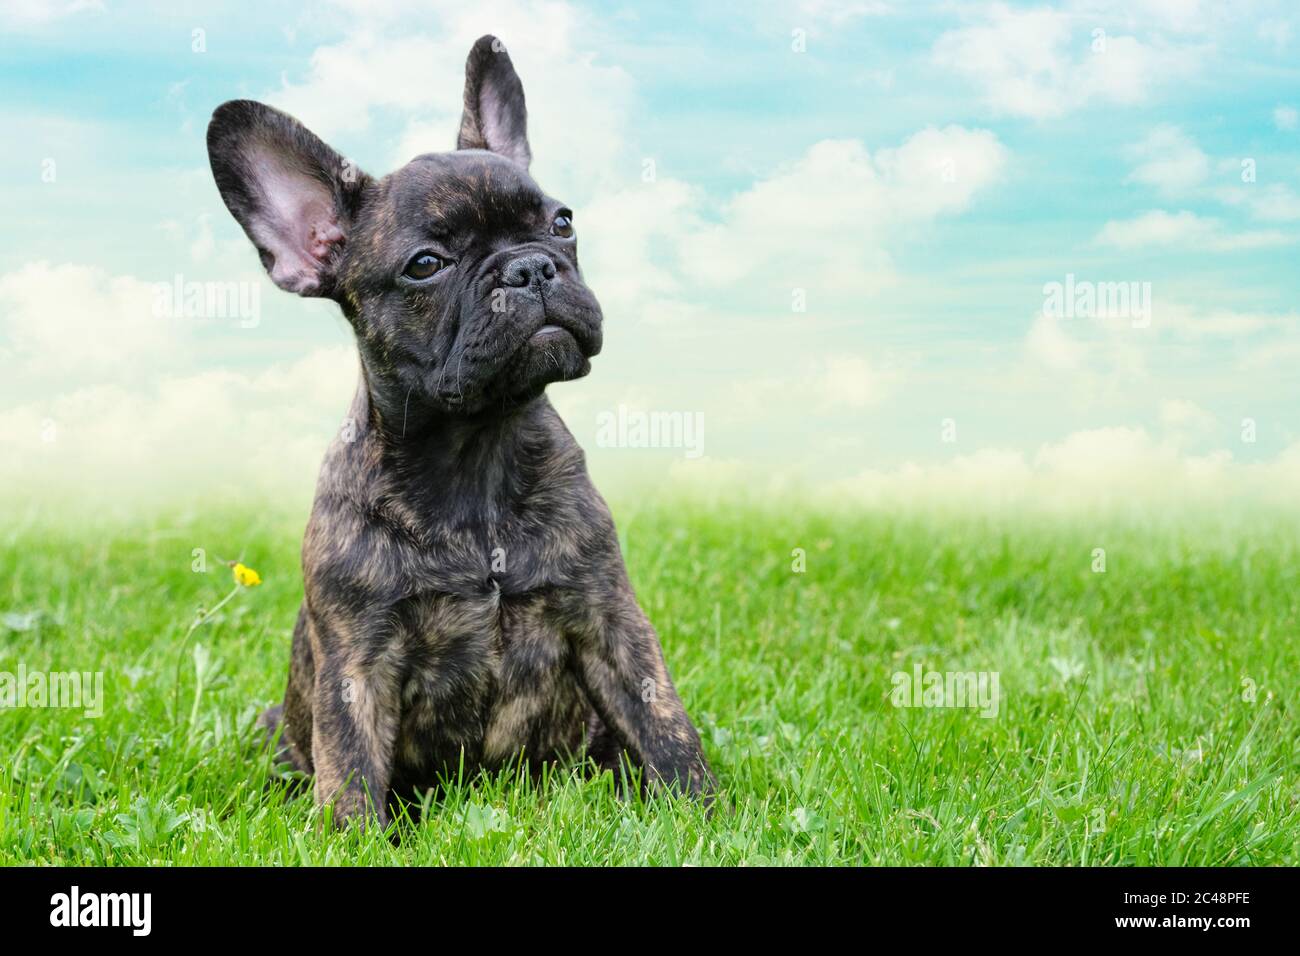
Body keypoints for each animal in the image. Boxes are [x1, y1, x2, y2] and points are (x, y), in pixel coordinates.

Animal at [205, 33, 712, 827]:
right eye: (426, 265)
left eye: (561, 222)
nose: (530, 268)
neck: (477, 448)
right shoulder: (357, 660)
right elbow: (350, 769)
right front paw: (354, 839)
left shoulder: (611, 619)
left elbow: (664, 723)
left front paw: (709, 815)